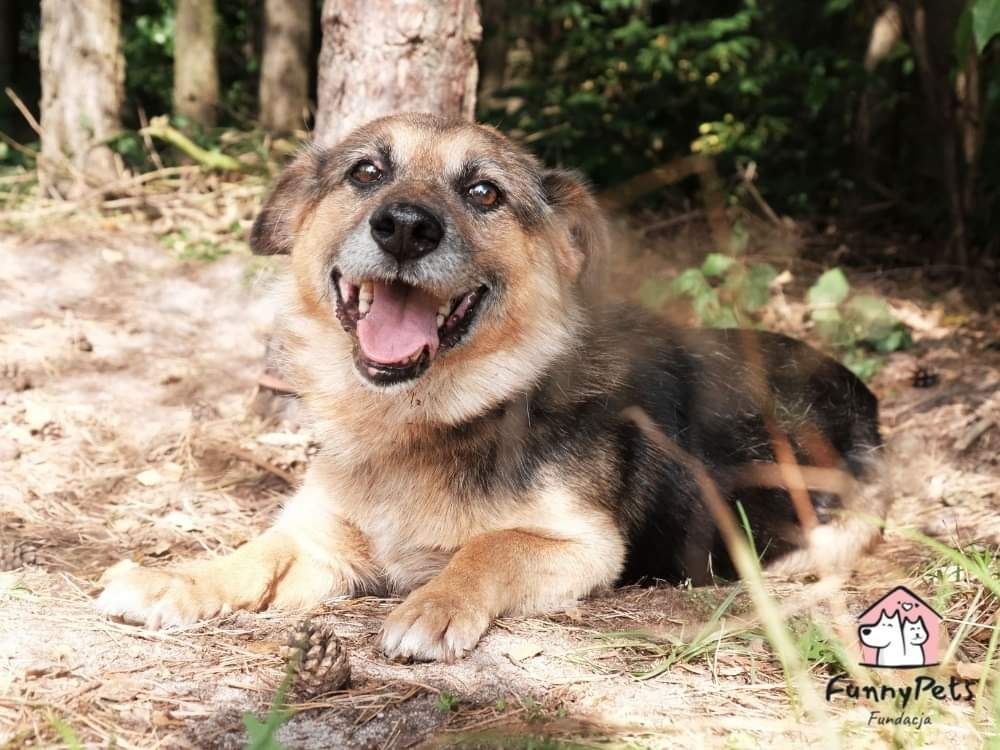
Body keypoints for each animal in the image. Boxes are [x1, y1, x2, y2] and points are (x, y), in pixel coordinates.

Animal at [95, 113, 892, 664]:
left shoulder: (583, 548)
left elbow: (489, 547)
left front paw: (435, 603)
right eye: (365, 172)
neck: (422, 424)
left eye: (483, 192)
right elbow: (252, 553)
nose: (404, 228)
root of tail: (856, 384)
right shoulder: (321, 539)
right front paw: (177, 579)